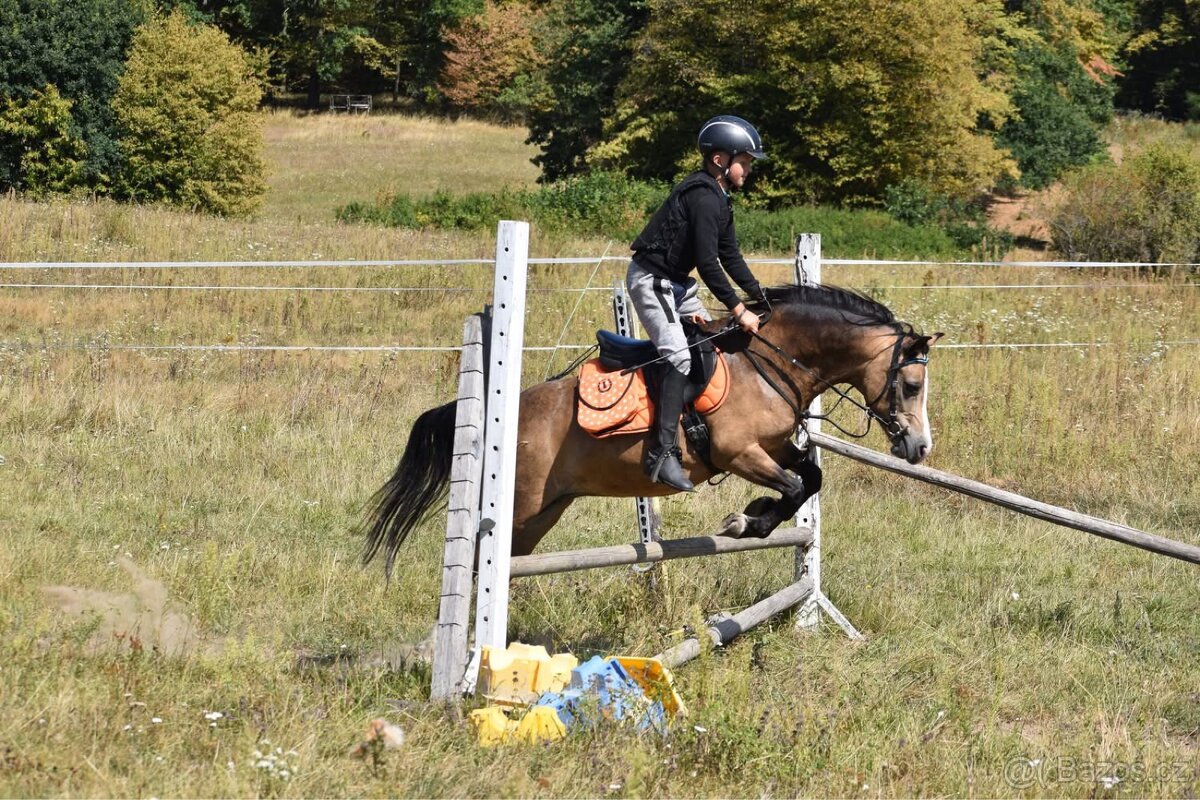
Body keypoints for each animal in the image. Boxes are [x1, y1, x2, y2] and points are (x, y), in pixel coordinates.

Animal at [363, 283, 943, 579]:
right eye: (912, 384)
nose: (919, 447)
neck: (768, 362)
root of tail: (496, 416)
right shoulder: (739, 452)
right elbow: (798, 485)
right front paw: (745, 520)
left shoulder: (778, 445)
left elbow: (809, 479)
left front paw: (755, 517)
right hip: (521, 504)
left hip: (543, 513)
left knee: (508, 561)